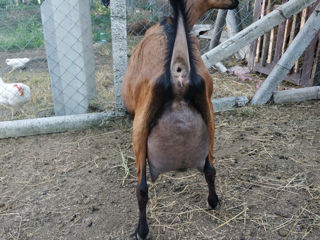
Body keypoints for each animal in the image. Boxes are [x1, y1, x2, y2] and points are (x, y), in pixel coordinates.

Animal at [121, 0, 239, 239]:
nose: (236, 2)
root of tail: (179, 72)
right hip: (209, 118)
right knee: (210, 169)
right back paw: (213, 201)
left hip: (140, 128)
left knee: (142, 187)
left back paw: (142, 230)